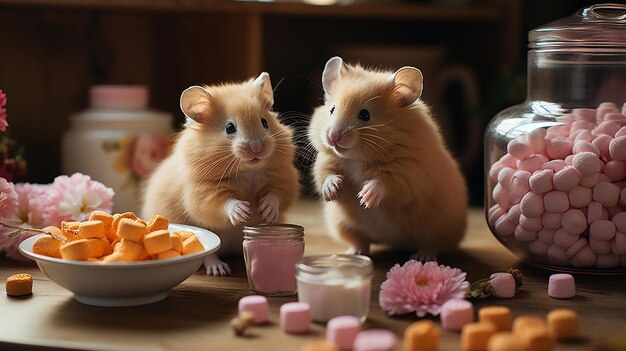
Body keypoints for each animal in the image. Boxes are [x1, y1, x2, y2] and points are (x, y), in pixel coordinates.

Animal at [143, 72, 298, 276]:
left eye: (264, 122)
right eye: (230, 128)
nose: (257, 148)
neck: (248, 171)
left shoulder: (284, 180)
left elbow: (276, 195)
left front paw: (266, 211)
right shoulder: (203, 194)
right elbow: (223, 203)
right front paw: (243, 212)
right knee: (207, 255)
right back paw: (219, 269)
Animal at [310, 57, 466, 262]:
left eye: (365, 115)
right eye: (332, 110)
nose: (333, 137)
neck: (356, 158)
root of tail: (394, 242)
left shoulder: (409, 172)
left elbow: (385, 183)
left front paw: (365, 198)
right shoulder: (325, 161)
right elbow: (326, 175)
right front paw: (333, 190)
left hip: (438, 227)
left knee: (432, 244)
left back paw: (422, 257)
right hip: (343, 225)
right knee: (362, 240)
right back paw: (355, 252)